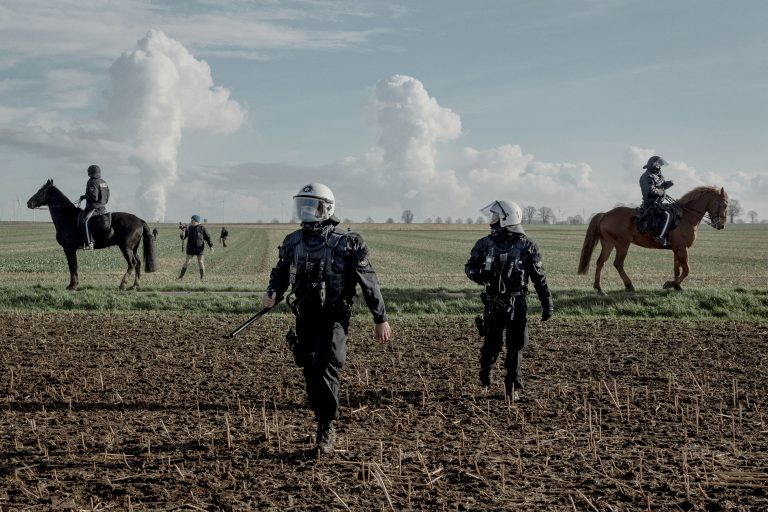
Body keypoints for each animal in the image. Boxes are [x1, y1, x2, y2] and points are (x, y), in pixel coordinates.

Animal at [27, 180, 158, 292]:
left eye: (41, 190)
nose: (29, 203)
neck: (67, 217)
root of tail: (139, 220)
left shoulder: (69, 248)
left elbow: (72, 266)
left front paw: (73, 286)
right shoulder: (70, 249)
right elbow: (73, 266)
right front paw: (72, 285)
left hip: (126, 248)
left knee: (132, 264)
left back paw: (123, 284)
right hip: (133, 248)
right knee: (138, 263)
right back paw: (134, 286)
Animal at [580, 186, 728, 294]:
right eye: (725, 204)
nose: (721, 225)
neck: (686, 217)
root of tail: (605, 214)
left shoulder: (677, 249)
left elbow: (677, 268)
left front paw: (677, 286)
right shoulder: (681, 248)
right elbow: (686, 269)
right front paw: (670, 284)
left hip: (608, 243)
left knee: (600, 262)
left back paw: (599, 289)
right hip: (622, 244)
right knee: (618, 264)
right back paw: (629, 285)